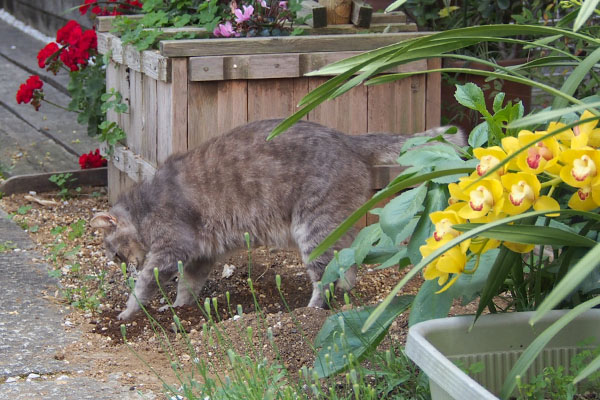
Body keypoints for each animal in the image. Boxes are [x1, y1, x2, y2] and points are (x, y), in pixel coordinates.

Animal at [91, 117, 462, 320]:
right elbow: (187, 287)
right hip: (335, 227)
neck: (144, 207)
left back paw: (311, 310)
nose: (123, 267)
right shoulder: (199, 256)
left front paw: (129, 310)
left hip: (313, 229)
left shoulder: (171, 249)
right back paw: (343, 297)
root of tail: (346, 139)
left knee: (323, 277)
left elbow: (145, 285)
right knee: (347, 266)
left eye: (116, 254)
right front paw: (181, 308)